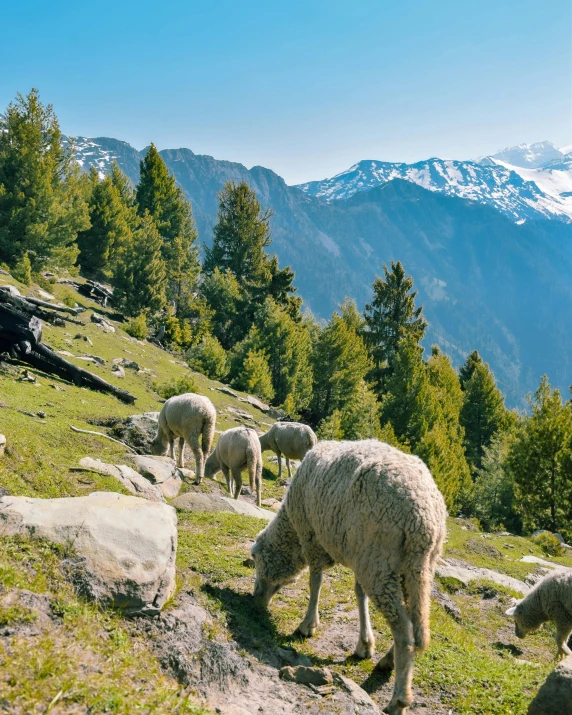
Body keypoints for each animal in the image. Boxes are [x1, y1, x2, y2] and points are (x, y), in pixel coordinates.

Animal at [250, 442, 446, 715]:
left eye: (256, 561)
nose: (255, 600)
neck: (293, 533)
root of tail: (423, 522)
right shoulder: (356, 555)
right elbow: (359, 594)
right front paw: (365, 643)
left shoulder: (312, 537)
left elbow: (316, 581)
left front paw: (308, 624)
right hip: (414, 567)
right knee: (413, 623)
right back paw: (389, 659)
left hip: (379, 562)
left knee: (404, 630)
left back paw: (398, 699)